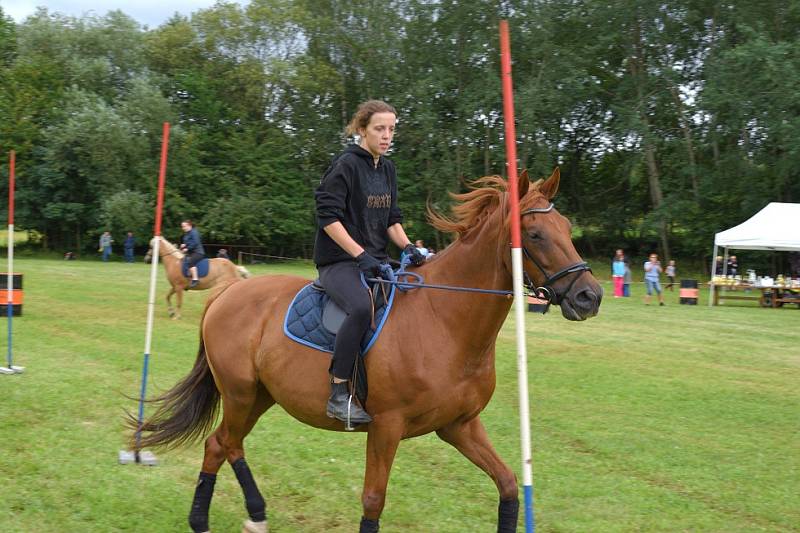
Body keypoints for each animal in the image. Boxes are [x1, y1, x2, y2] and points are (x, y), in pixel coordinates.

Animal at [134, 168, 604, 528]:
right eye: (535, 234)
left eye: (566, 229)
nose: (590, 297)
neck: (444, 319)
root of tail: (226, 294)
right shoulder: (386, 427)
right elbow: (373, 501)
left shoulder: (459, 426)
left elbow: (508, 485)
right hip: (239, 393)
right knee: (227, 444)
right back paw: (230, 516)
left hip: (260, 396)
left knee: (220, 445)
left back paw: (231, 516)